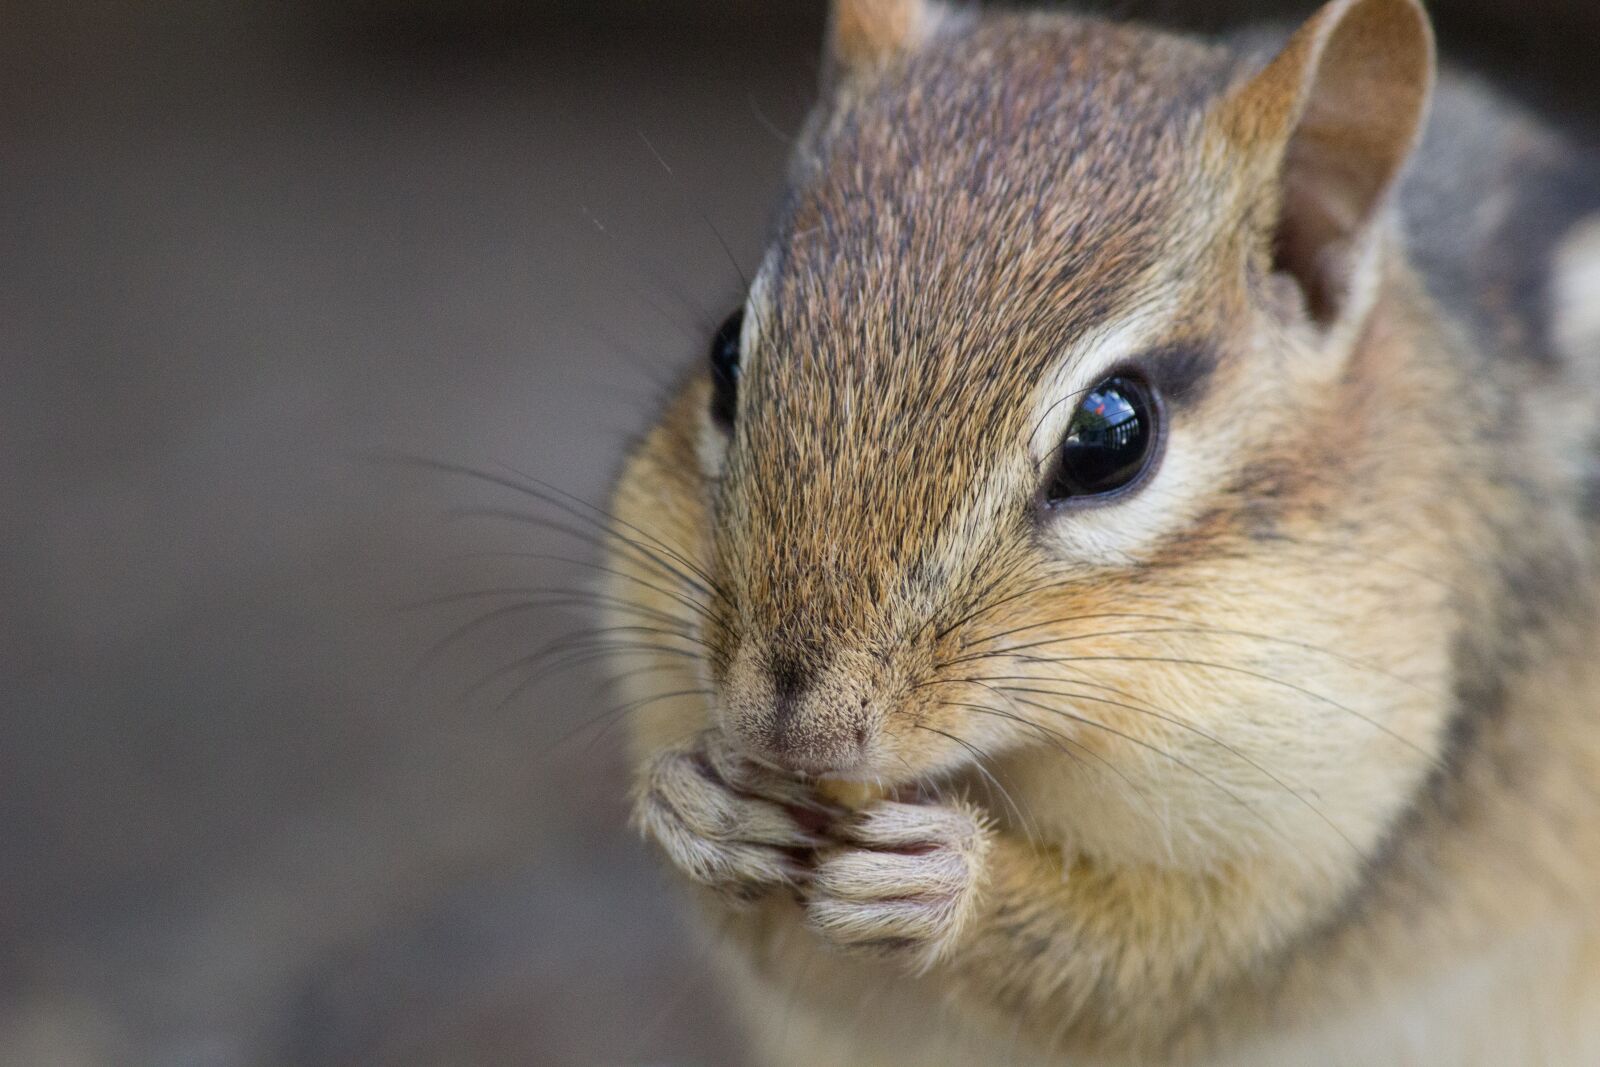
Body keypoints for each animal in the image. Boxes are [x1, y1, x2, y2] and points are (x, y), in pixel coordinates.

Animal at [603, 0, 1600, 1063]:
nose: (793, 726)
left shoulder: (1322, 820)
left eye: (1112, 434)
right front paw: (695, 808)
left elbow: (1153, 959)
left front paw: (948, 878)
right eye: (725, 354)